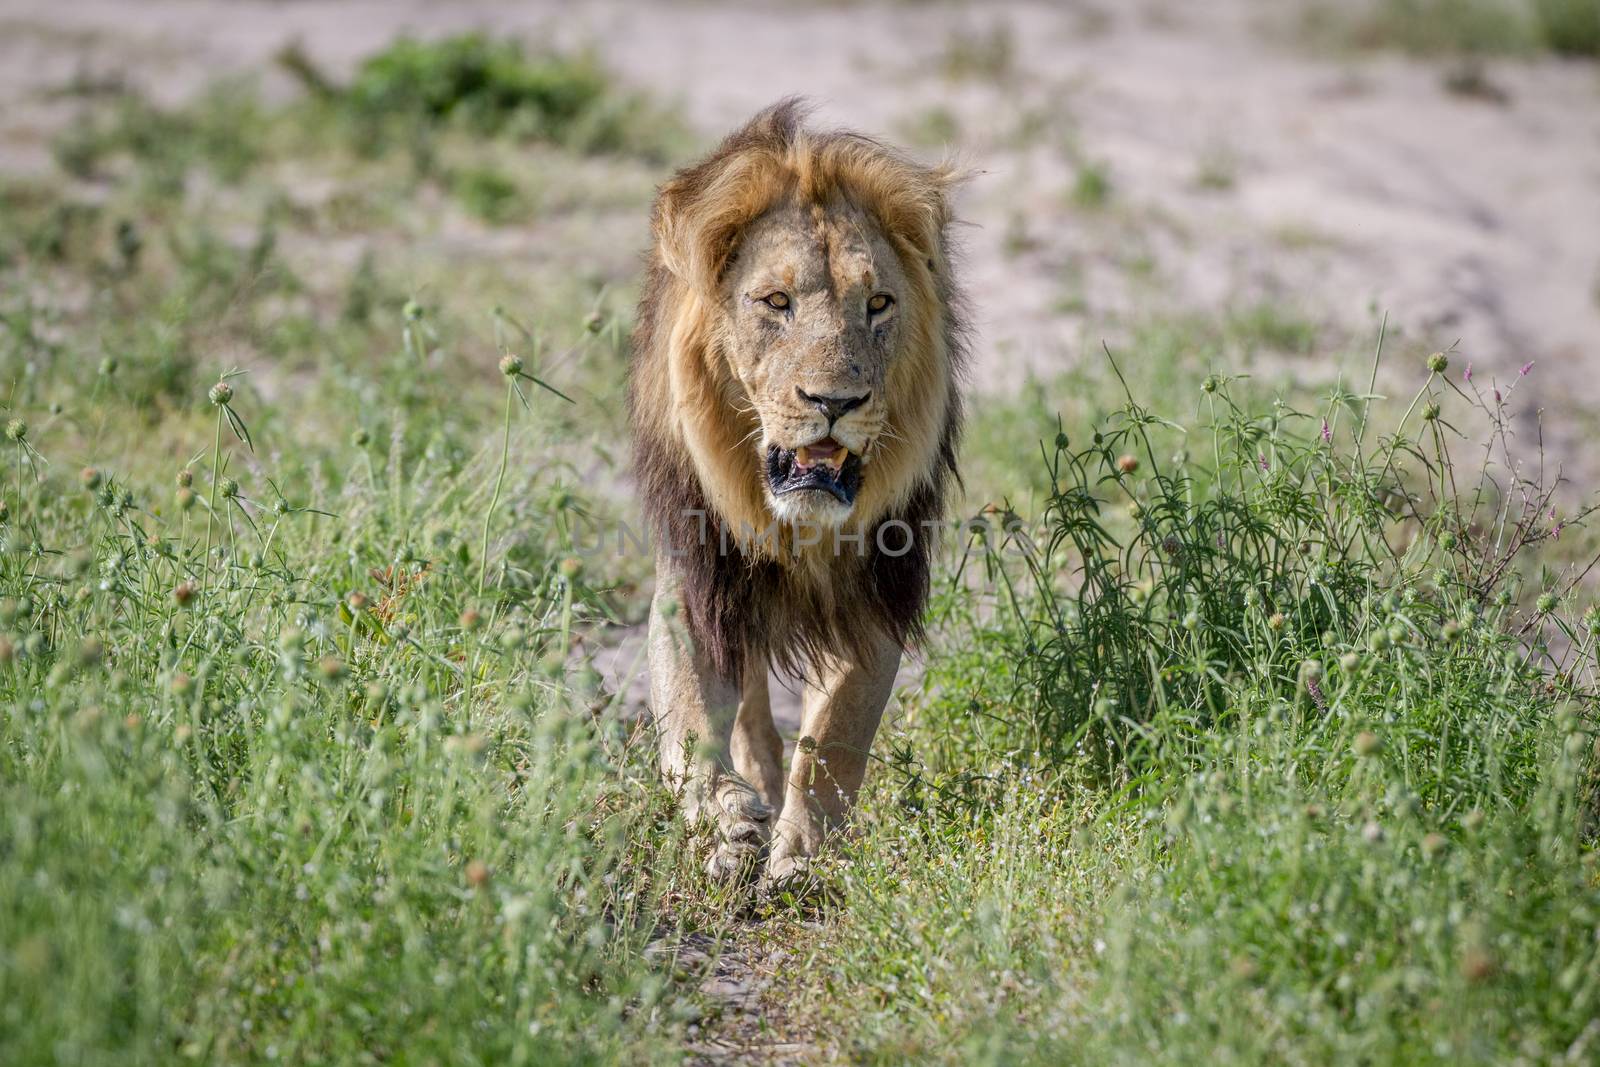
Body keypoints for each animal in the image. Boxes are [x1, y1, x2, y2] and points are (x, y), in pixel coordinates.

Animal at [630, 99, 966, 883]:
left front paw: (804, 854)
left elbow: (837, 735)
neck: (795, 525)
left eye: (878, 303)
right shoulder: (697, 579)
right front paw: (726, 823)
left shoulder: (876, 590)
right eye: (775, 301)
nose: (834, 401)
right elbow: (689, 718)